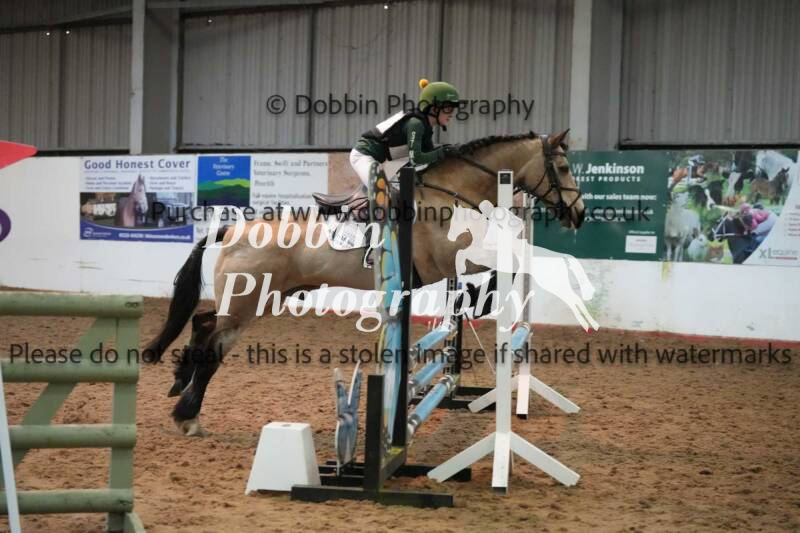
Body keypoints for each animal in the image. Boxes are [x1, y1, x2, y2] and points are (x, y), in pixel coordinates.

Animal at [144, 130, 586, 436]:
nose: (579, 214)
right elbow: (500, 263)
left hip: (265, 298)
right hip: (246, 301)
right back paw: (187, 416)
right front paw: (485, 298)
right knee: (212, 345)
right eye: (564, 168)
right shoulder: (450, 259)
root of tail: (234, 230)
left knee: (202, 325)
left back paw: (179, 387)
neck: (451, 191)